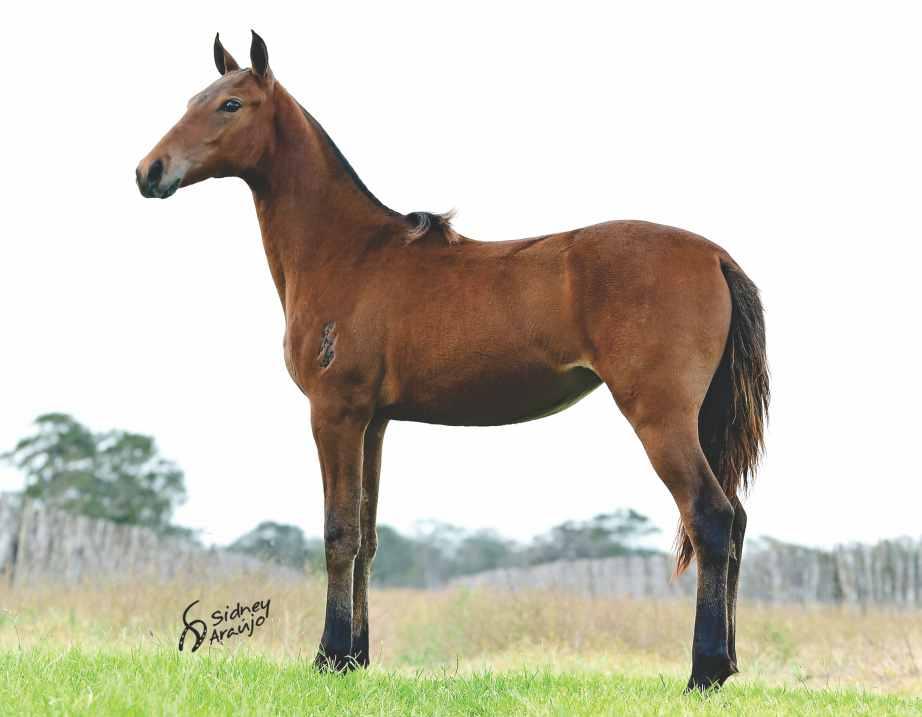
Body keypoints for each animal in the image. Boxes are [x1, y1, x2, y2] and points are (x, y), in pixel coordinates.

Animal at [137, 32, 764, 688]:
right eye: (193, 99)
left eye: (231, 104)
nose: (149, 171)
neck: (350, 253)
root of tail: (715, 256)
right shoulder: (374, 422)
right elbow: (367, 536)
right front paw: (356, 657)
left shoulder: (335, 414)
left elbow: (338, 533)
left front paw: (329, 657)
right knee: (737, 522)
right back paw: (727, 664)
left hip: (661, 419)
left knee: (711, 516)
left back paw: (705, 671)